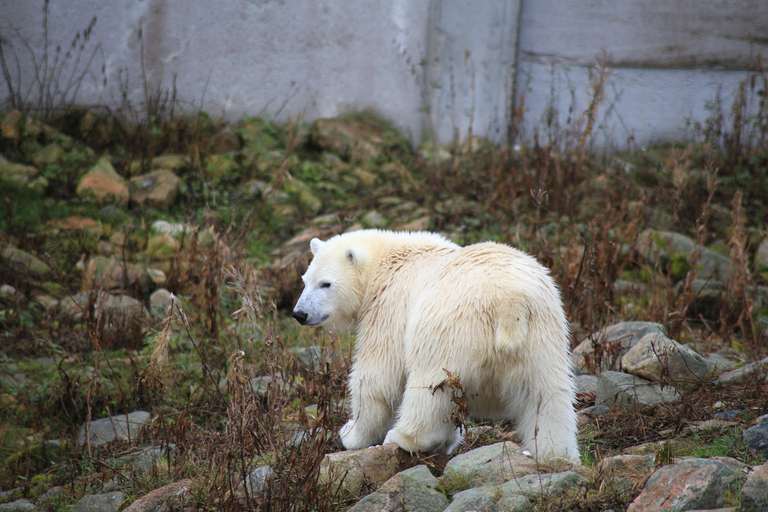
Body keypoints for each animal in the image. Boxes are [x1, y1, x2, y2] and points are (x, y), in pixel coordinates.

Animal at [292, 230, 580, 462]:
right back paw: (556, 454)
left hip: (449, 328)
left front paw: (351, 433)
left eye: (326, 283)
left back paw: (404, 437)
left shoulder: (390, 307)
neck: (386, 264)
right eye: (305, 280)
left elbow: (378, 376)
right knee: (547, 394)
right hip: (543, 331)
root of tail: (510, 300)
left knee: (430, 387)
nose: (299, 314)